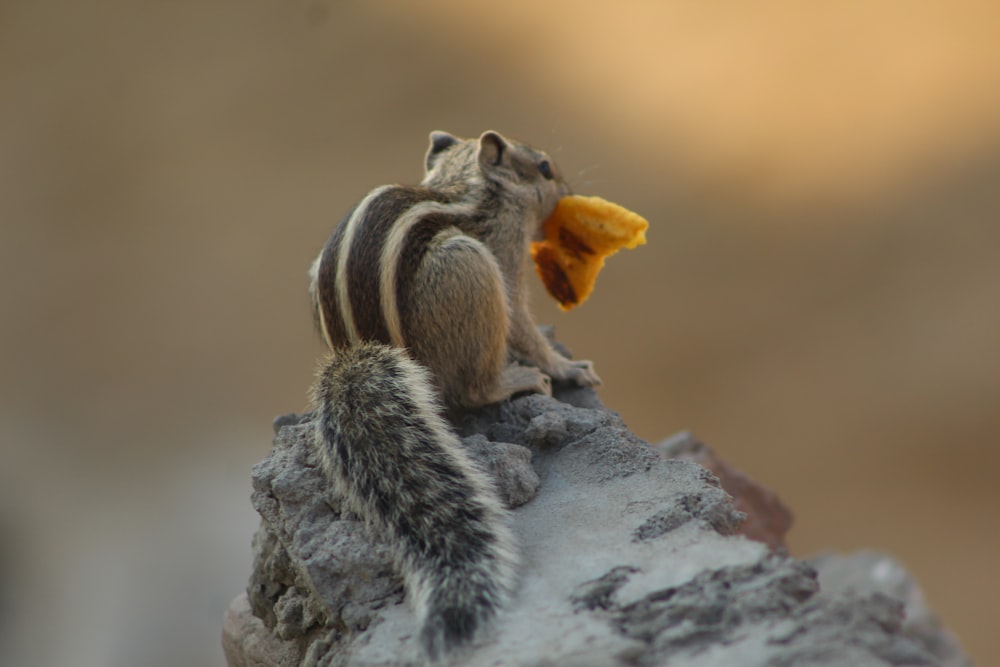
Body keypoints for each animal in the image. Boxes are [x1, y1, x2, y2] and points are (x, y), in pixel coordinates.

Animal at [308, 129, 596, 656]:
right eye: (545, 168)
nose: (567, 189)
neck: (466, 188)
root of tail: (359, 353)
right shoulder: (503, 253)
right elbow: (522, 322)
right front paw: (567, 367)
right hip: (469, 269)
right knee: (474, 390)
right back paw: (516, 380)